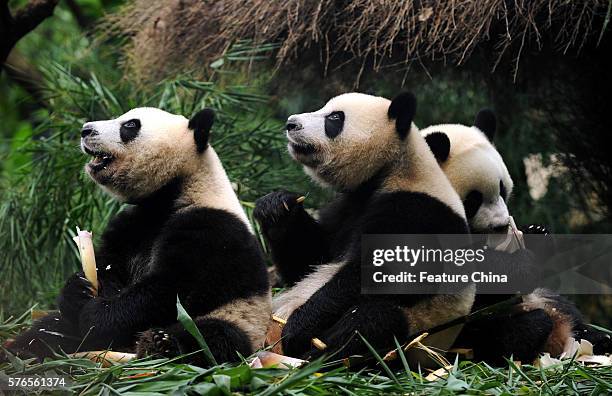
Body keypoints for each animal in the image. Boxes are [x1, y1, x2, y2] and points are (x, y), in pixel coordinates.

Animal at [5, 106, 270, 366]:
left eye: (130, 125)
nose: (85, 130)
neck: (174, 192)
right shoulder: (132, 225)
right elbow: (110, 265)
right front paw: (77, 289)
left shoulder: (211, 229)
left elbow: (169, 288)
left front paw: (96, 315)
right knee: (50, 328)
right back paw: (22, 352)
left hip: (240, 317)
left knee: (211, 337)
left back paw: (159, 345)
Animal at [420, 110, 612, 364]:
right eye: (473, 200)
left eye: (502, 190)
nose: (501, 225)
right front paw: (520, 266)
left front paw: (537, 234)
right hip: (462, 335)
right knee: (498, 334)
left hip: (547, 299)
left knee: (568, 312)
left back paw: (597, 339)